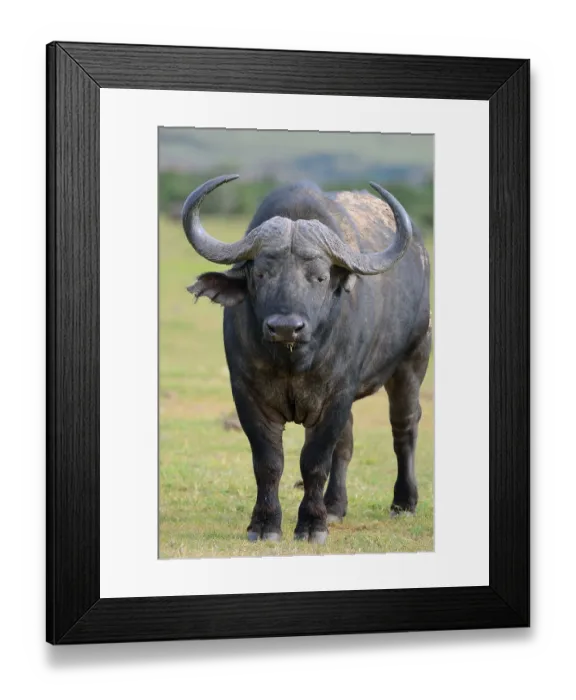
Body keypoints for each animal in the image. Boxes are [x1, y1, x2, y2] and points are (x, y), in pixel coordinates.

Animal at [183, 175, 431, 544]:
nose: (286, 327)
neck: (293, 360)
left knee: (404, 426)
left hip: (412, 361)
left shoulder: (336, 395)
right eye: (261, 274)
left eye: (320, 277)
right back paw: (335, 506)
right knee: (346, 443)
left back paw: (403, 502)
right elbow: (268, 461)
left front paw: (312, 525)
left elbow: (314, 461)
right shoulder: (247, 393)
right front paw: (265, 525)